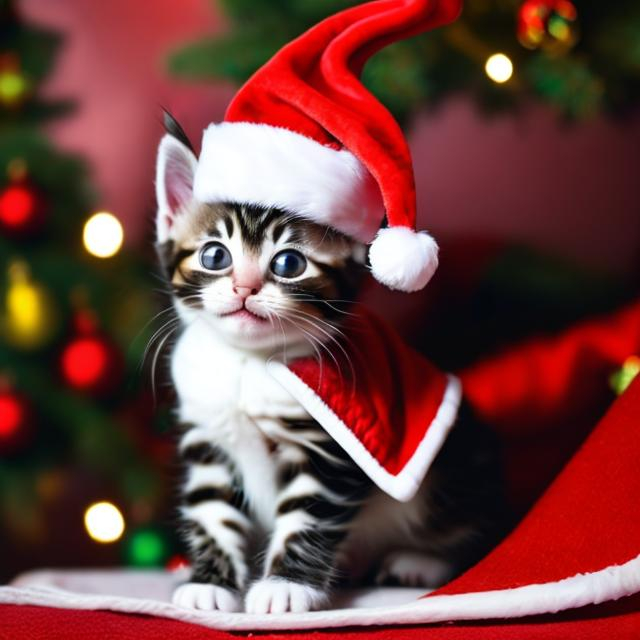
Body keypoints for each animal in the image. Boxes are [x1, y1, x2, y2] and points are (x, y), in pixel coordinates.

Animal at [156, 116, 510, 616]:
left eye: (288, 263)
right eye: (214, 255)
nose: (244, 287)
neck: (248, 365)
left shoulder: (327, 446)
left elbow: (308, 514)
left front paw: (286, 586)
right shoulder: (207, 436)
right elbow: (211, 510)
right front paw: (210, 582)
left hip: (458, 467)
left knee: (475, 530)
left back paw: (418, 561)